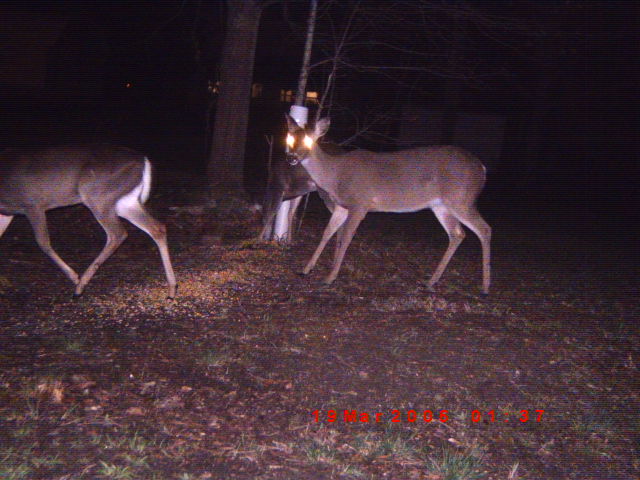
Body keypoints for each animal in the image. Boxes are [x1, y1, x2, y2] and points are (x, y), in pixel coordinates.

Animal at [0, 144, 177, 298]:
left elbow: (43, 242)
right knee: (157, 227)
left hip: (96, 196)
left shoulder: (33, 204)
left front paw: (73, 276)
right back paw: (172, 288)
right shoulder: (6, 213)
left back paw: (80, 285)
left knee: (117, 233)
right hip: (125, 202)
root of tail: (144, 160)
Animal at [285, 114, 492, 295]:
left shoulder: (360, 204)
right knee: (457, 233)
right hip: (441, 206)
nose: (292, 158)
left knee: (484, 229)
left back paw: (485, 288)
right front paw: (306, 269)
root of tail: (482, 169)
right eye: (290, 139)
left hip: (461, 198)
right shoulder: (342, 206)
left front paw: (330, 277)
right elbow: (327, 233)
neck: (335, 175)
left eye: (309, 141)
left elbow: (346, 238)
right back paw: (431, 281)